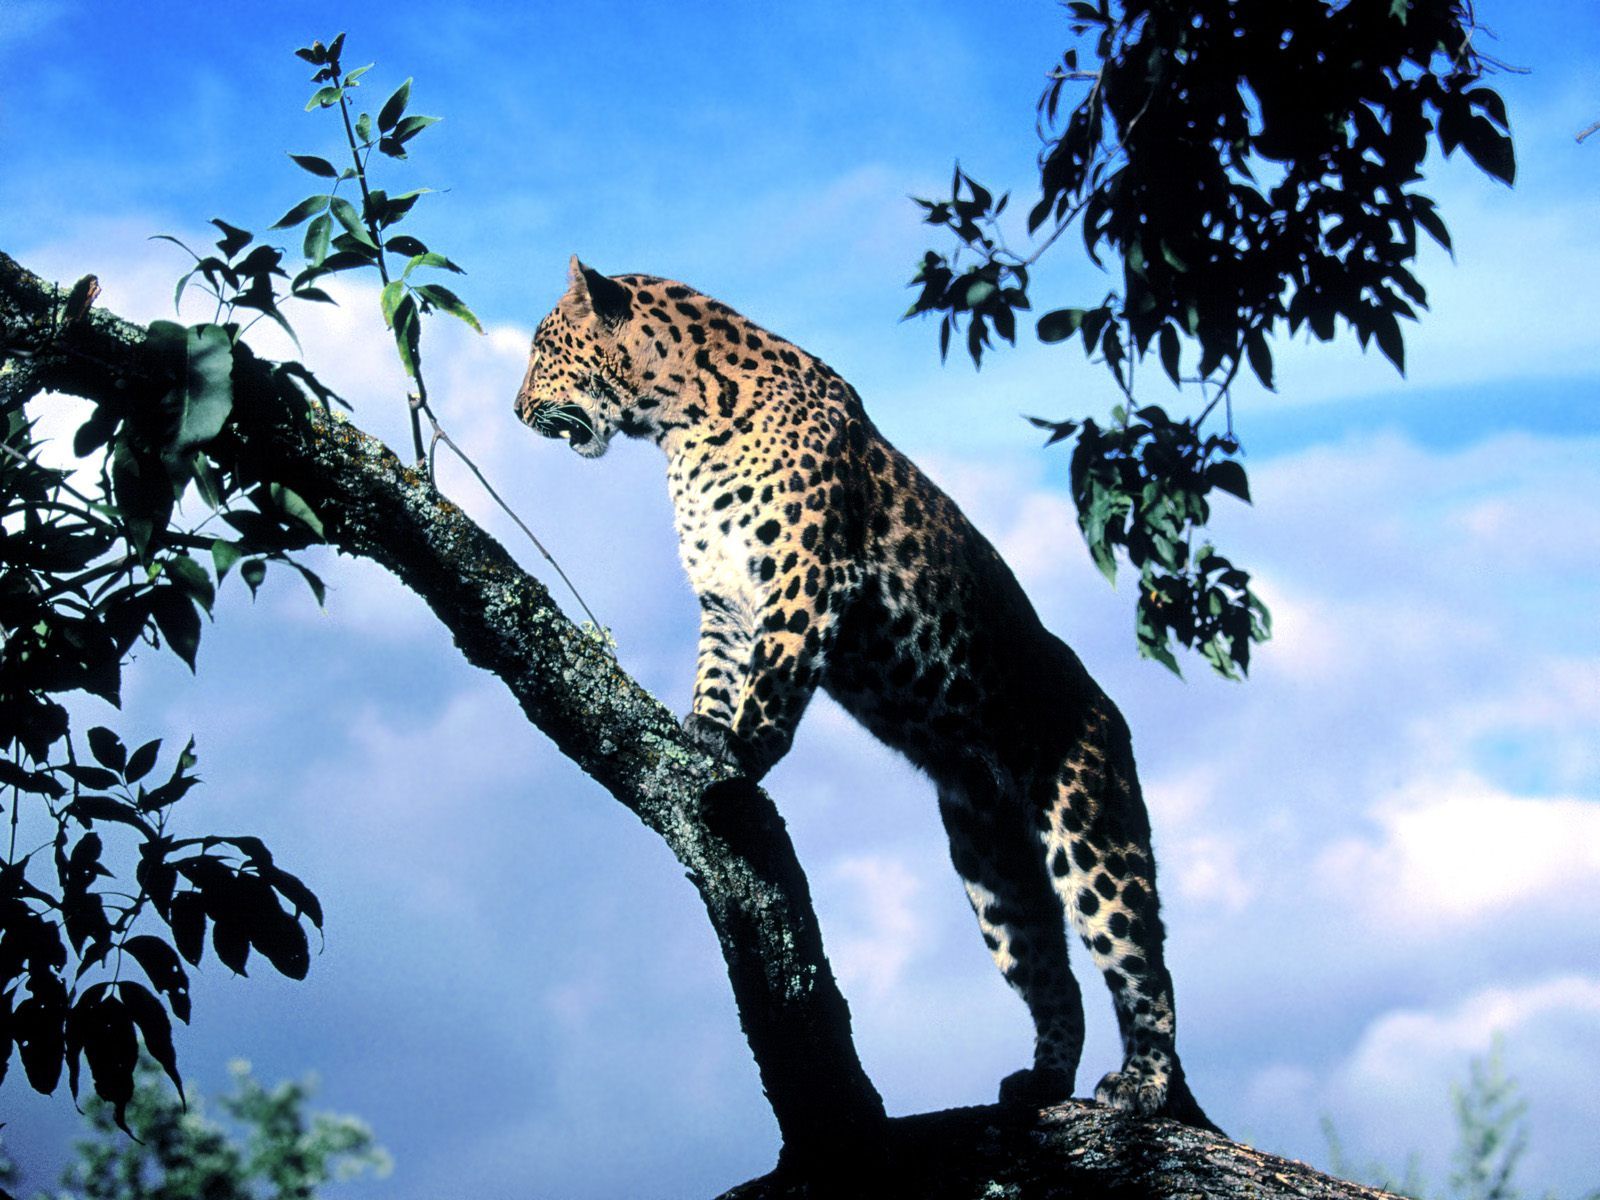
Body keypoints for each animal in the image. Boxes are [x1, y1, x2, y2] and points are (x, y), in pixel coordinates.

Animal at [514, 256, 1218, 1131]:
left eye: (543, 347)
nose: (515, 410)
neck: (679, 422)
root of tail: (1108, 713)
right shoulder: (725, 598)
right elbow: (717, 674)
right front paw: (701, 730)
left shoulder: (809, 575)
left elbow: (773, 680)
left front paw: (742, 755)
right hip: (991, 869)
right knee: (1054, 979)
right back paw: (1041, 1083)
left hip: (1092, 831)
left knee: (1142, 966)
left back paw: (1144, 1085)